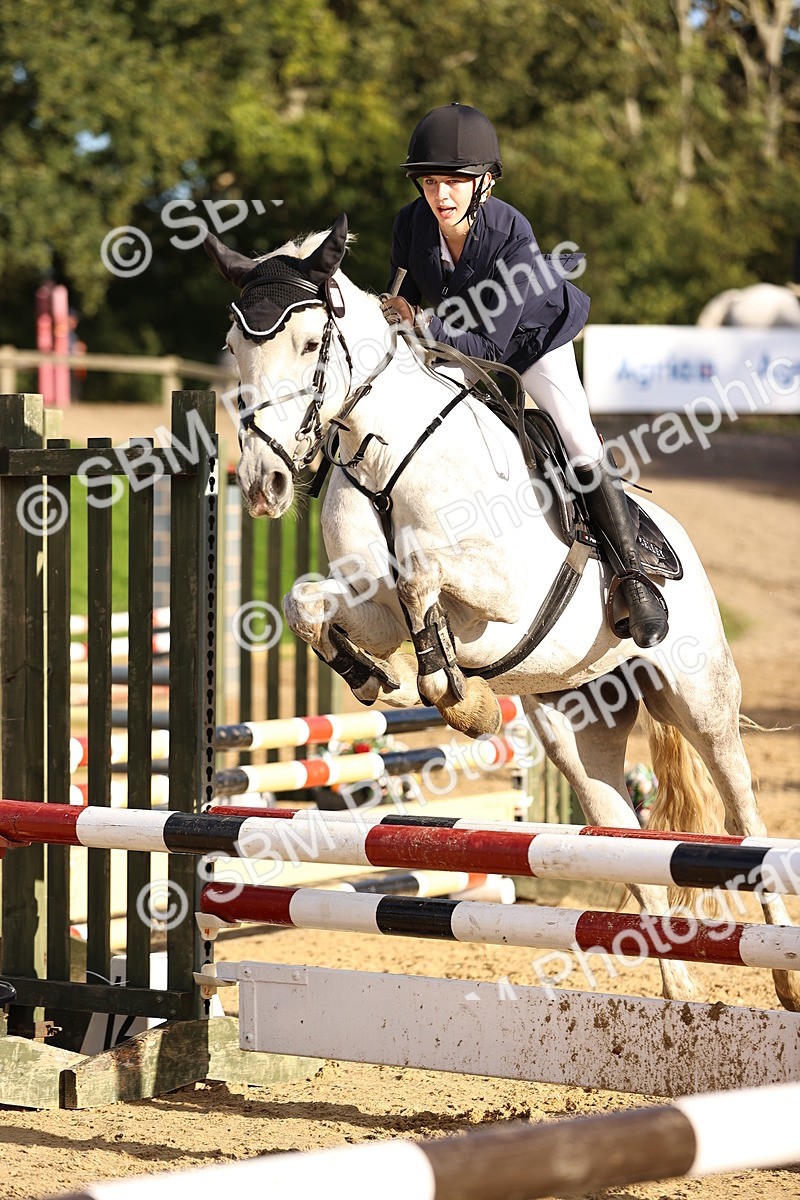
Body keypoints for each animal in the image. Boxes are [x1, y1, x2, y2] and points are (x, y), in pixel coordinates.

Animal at [205, 215, 799, 1013]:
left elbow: (423, 573)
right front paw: (378, 676)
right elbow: (312, 604)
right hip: (576, 725)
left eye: (307, 343)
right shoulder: (370, 601)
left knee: (744, 820)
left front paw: (460, 696)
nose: (266, 483)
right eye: (236, 347)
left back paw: (783, 973)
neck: (384, 449)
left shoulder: (503, 598)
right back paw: (675, 989)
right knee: (620, 831)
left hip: (699, 698)